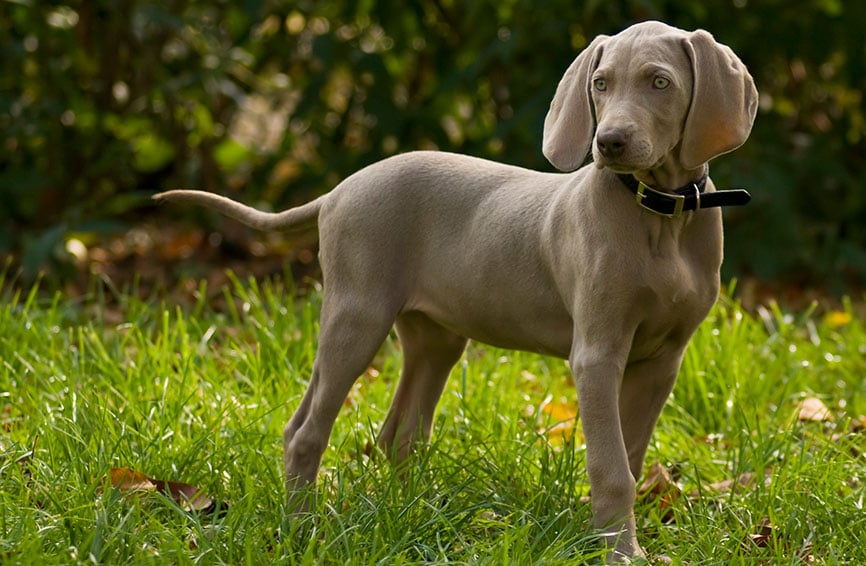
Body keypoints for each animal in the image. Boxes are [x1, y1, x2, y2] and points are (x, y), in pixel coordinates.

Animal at [157, 21, 756, 564]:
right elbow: (612, 470)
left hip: (434, 337)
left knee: (397, 434)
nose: (608, 143)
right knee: (306, 430)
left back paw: (410, 517)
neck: (662, 215)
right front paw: (621, 554)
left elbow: (630, 458)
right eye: (601, 83)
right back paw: (303, 528)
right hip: (357, 315)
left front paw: (617, 541)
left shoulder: (663, 361)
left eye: (659, 82)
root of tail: (340, 189)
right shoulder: (597, 355)